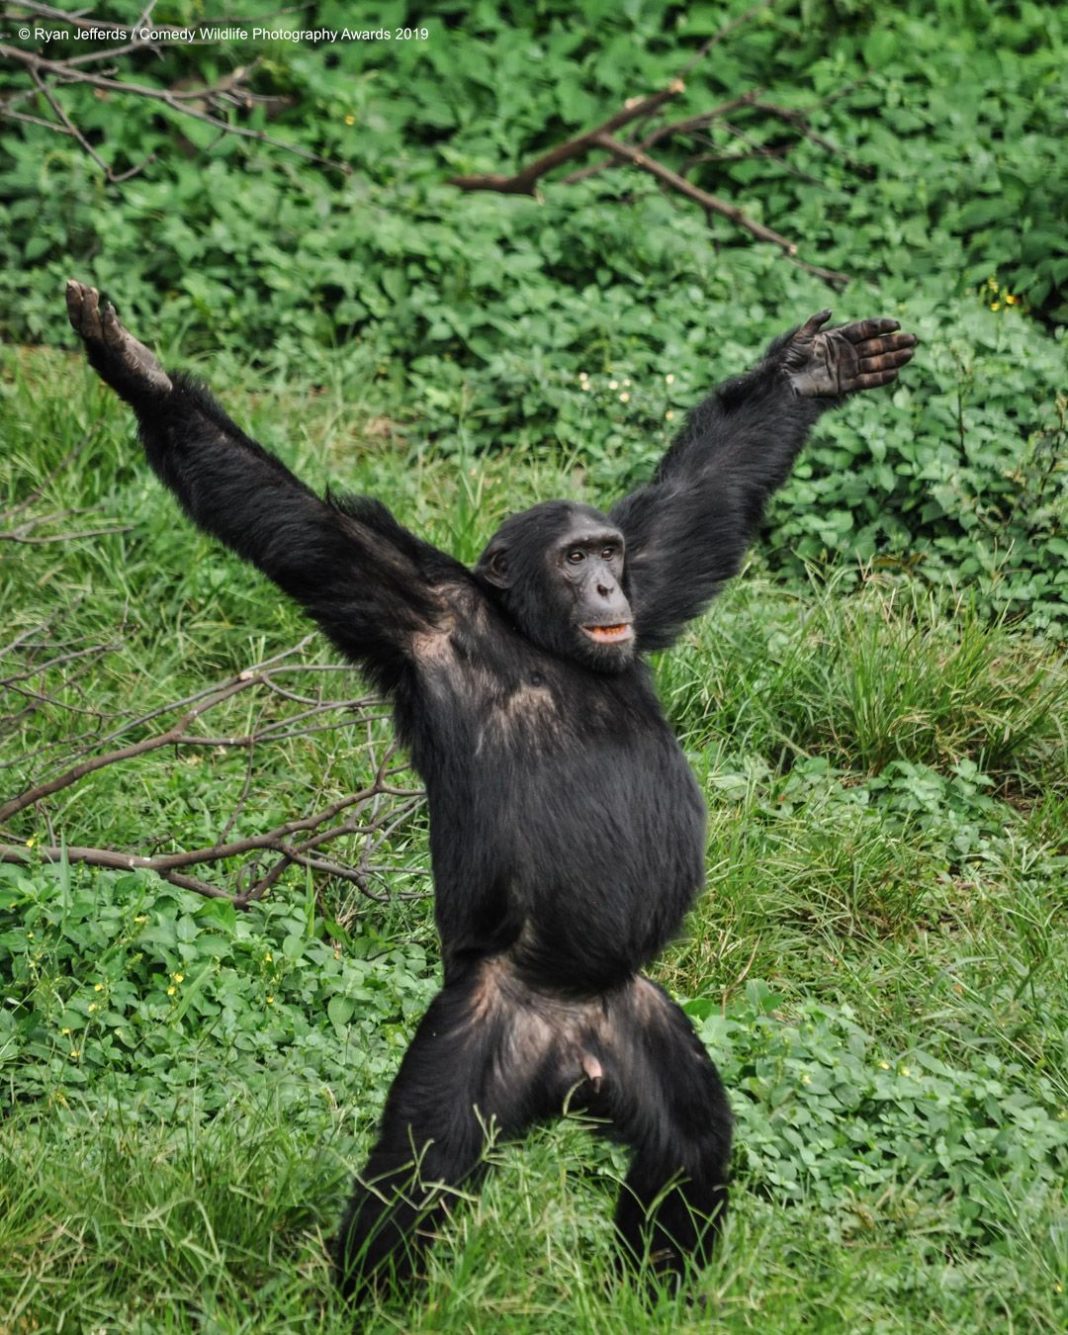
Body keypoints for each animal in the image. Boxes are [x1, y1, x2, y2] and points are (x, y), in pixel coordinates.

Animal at [66, 279, 918, 1292]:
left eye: (608, 551)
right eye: (572, 558)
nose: (605, 588)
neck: (538, 640)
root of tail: (572, 1059)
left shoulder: (656, 569)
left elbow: (703, 496)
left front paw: (810, 370)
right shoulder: (409, 605)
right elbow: (296, 525)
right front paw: (138, 370)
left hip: (638, 1020)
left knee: (691, 1148)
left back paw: (648, 1289)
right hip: (480, 1029)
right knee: (415, 1175)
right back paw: (366, 1295)